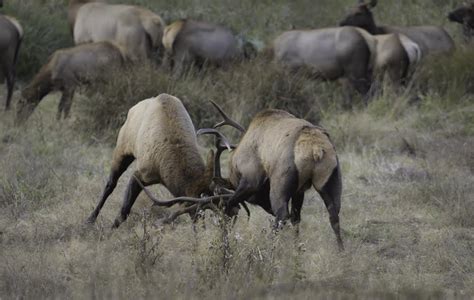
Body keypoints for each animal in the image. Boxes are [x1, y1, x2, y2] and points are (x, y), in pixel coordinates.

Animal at [85, 94, 237, 227]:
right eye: (196, 208)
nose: (229, 223)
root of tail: (133, 108)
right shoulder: (141, 174)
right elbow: (123, 211)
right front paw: (110, 231)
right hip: (122, 149)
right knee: (110, 183)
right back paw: (89, 219)